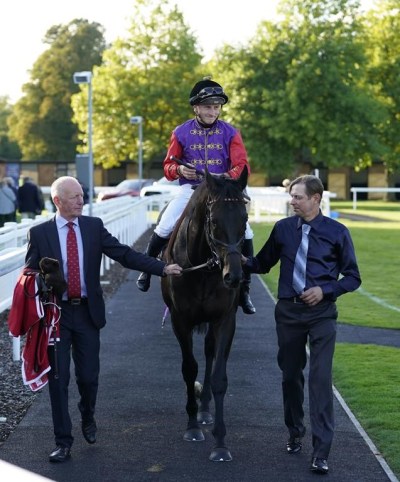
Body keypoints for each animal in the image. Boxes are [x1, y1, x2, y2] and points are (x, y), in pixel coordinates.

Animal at [161, 167, 248, 464]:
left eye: (245, 220)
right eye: (214, 222)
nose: (234, 276)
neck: (204, 265)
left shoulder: (225, 320)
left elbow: (220, 376)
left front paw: (220, 442)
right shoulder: (180, 320)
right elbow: (189, 369)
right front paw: (192, 427)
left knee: (210, 352)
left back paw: (206, 409)